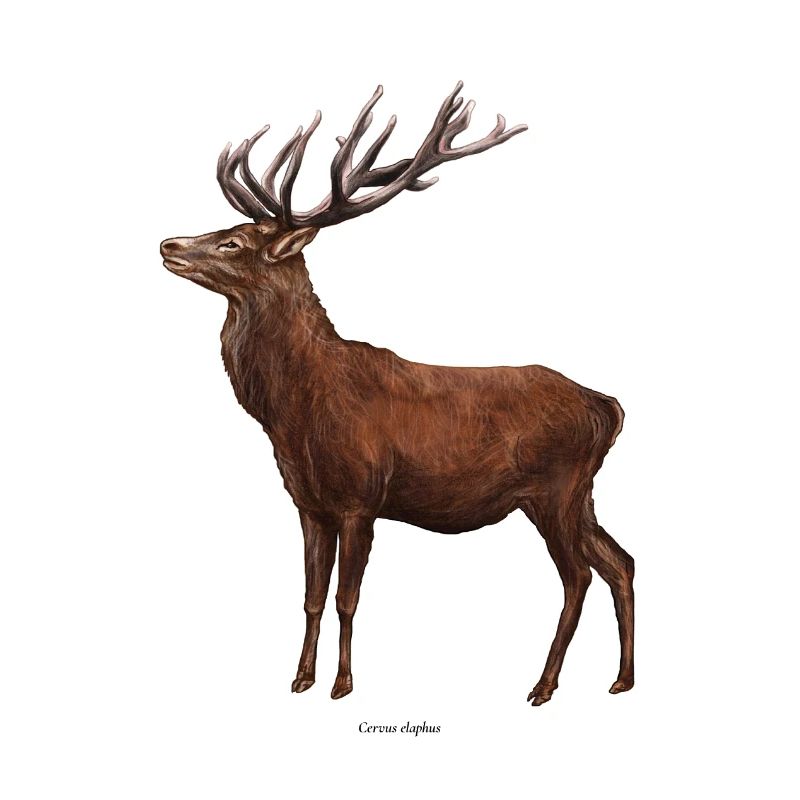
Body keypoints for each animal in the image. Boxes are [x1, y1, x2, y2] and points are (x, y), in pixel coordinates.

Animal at [160, 82, 635, 706]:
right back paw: (621, 679)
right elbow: (311, 597)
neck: (293, 412)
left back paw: (543, 684)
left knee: (578, 575)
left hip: (555, 487)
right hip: (580, 494)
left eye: (232, 242)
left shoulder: (361, 497)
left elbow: (346, 599)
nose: (167, 243)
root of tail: (608, 406)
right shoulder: (309, 504)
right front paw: (300, 677)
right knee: (621, 561)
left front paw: (341, 684)